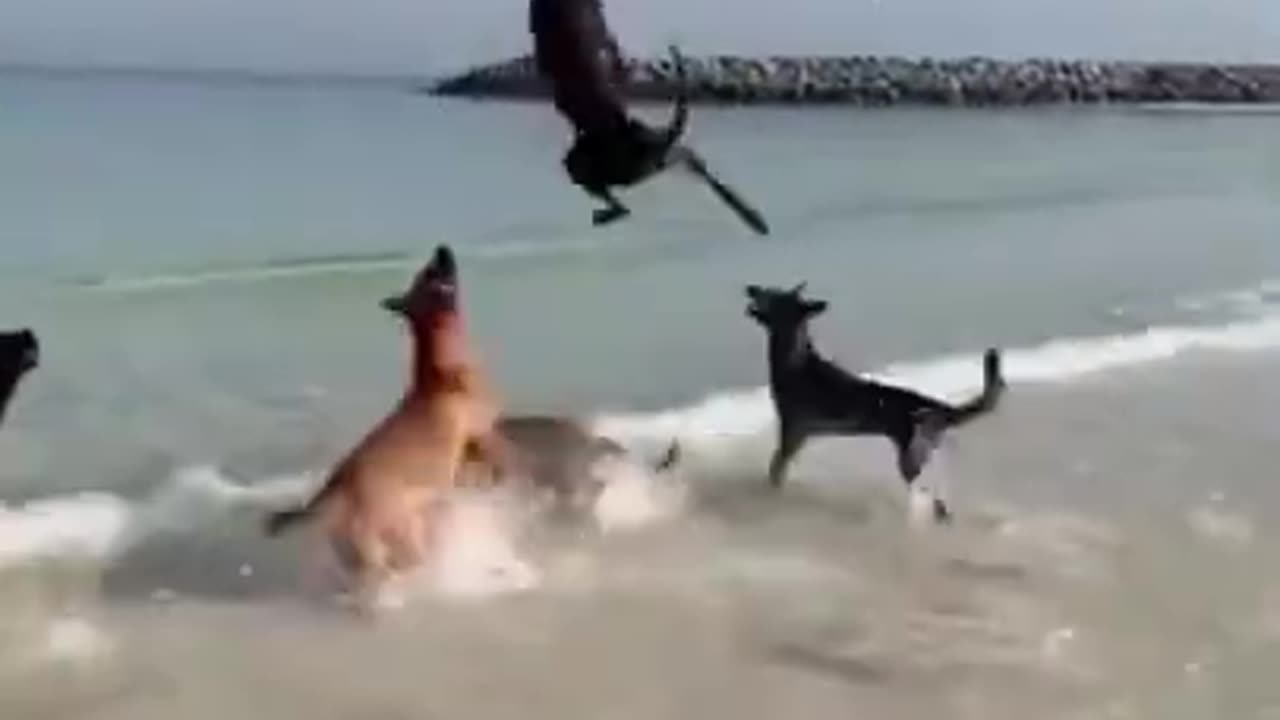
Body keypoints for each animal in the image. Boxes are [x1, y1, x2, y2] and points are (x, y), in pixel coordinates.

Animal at [262, 244, 512, 604]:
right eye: (429, 272)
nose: (442, 248)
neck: (437, 363)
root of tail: (338, 489)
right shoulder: (483, 431)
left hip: (364, 547)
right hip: (399, 534)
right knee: (398, 568)